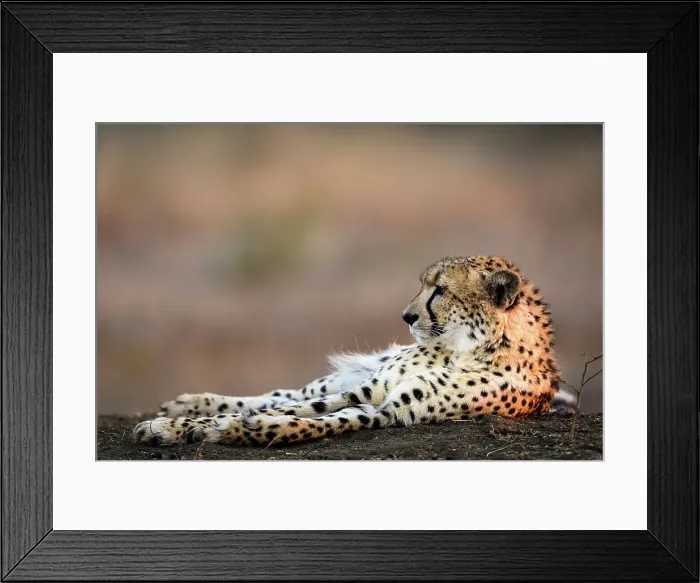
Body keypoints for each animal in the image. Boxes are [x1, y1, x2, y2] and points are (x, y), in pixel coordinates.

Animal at [133, 255, 562, 447]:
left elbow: (309, 419)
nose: (406, 316)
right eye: (424, 285)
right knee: (283, 394)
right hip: (346, 380)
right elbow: (290, 406)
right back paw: (188, 402)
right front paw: (175, 424)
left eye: (440, 290)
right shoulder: (369, 390)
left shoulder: (387, 410)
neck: (466, 348)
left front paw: (239, 429)